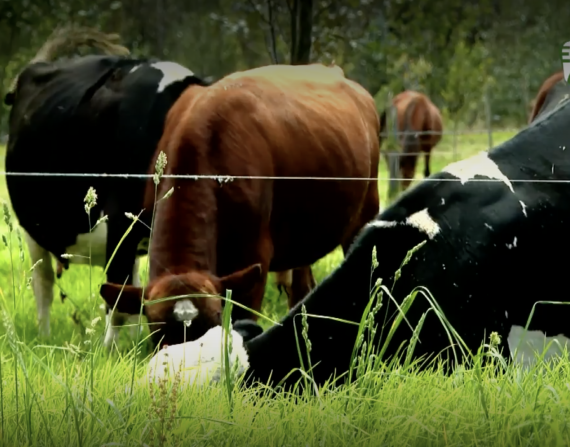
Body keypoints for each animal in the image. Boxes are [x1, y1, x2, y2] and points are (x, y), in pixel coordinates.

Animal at [3, 28, 213, 350]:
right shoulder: (119, 222)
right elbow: (117, 297)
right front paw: (110, 350)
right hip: (33, 228)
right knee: (43, 283)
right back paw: (44, 336)